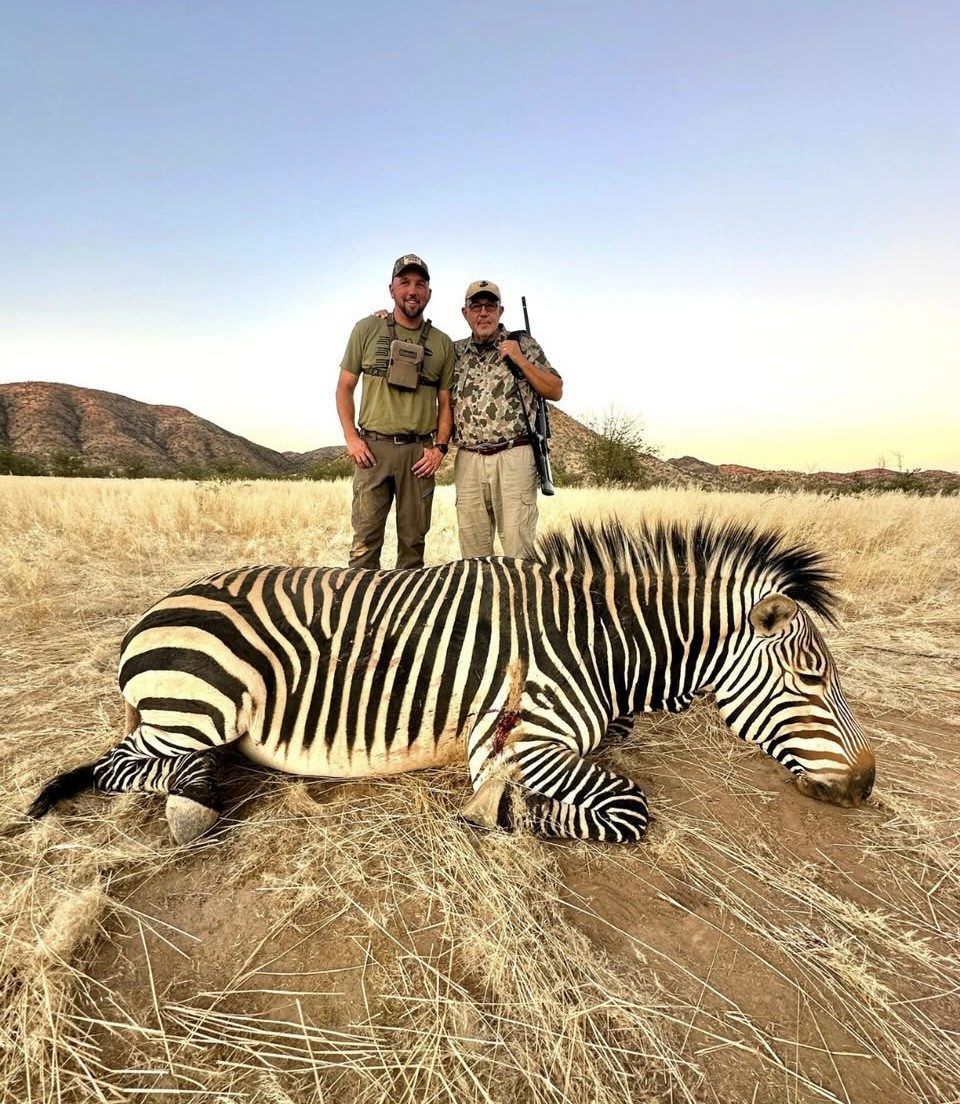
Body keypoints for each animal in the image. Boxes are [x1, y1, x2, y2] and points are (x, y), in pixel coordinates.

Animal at [27, 518, 876, 845]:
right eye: (812, 677)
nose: (868, 784)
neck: (601, 642)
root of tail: (154, 612)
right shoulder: (523, 740)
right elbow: (627, 807)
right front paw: (509, 813)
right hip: (202, 705)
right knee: (117, 766)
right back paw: (194, 801)